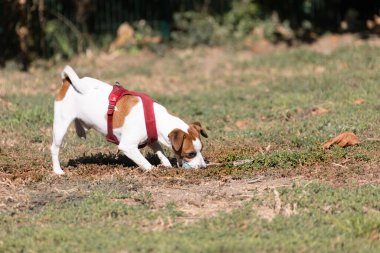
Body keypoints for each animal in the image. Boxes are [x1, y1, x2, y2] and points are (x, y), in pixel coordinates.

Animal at [50, 65, 208, 174]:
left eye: (201, 149)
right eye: (190, 154)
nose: (203, 167)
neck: (156, 118)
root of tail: (67, 82)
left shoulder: (152, 138)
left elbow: (160, 152)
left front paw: (166, 165)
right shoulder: (128, 146)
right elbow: (144, 162)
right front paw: (153, 170)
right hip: (61, 125)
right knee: (54, 148)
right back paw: (58, 171)